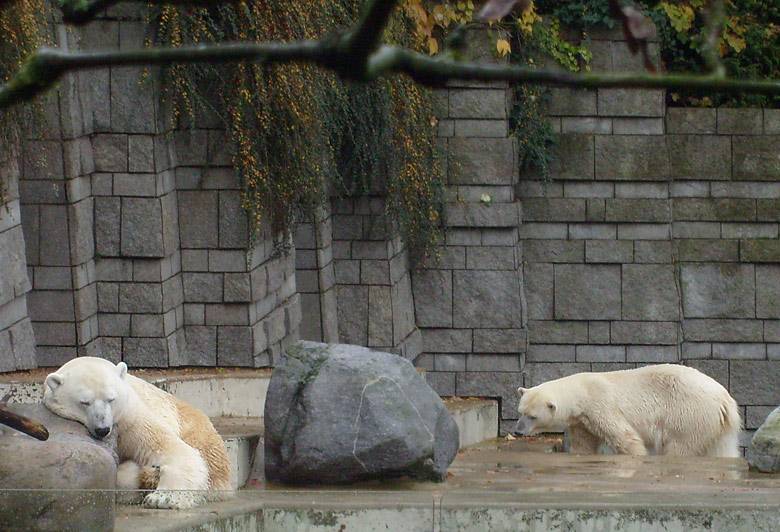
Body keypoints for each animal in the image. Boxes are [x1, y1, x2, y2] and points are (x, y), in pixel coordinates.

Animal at [43, 356, 232, 510]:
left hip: (191, 424)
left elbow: (173, 450)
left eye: (111, 399)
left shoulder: (130, 418)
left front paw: (163, 498)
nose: (102, 429)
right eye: (84, 402)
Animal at [516, 364, 740, 460]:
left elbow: (625, 437)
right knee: (723, 448)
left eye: (532, 416)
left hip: (690, 415)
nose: (518, 431)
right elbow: (584, 443)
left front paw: (636, 454)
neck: (583, 390)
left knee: (680, 445)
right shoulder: (582, 421)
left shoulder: (601, 405)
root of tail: (725, 400)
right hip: (717, 425)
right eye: (520, 411)